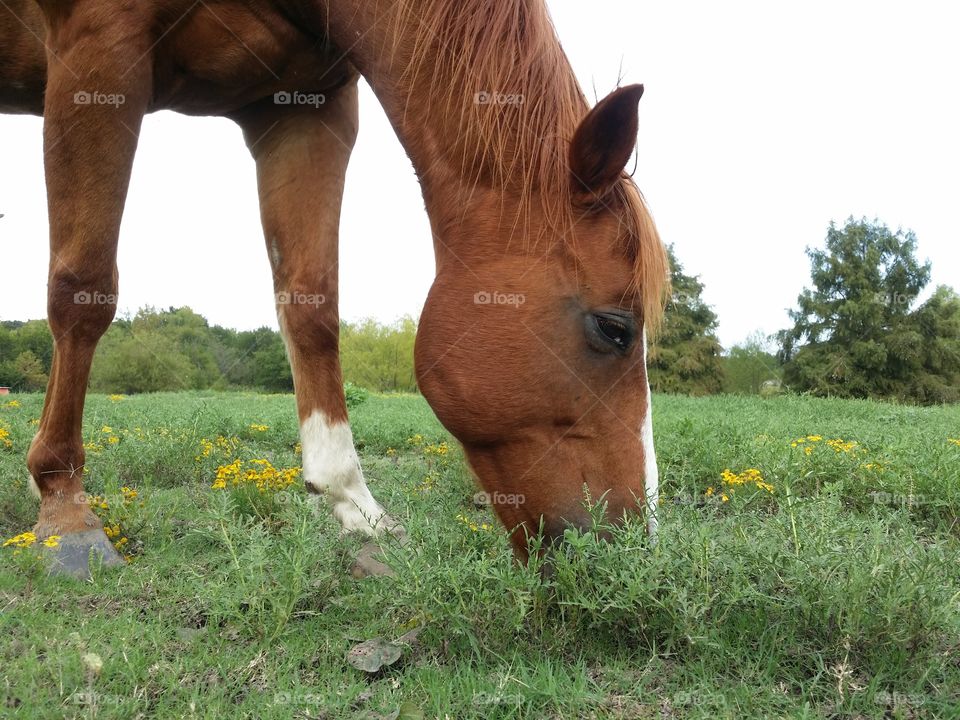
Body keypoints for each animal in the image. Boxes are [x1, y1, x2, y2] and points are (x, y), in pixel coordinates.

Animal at [1, 0, 668, 572]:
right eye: (614, 329)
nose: (634, 548)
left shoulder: (305, 105)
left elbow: (311, 303)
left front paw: (353, 504)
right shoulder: (97, 48)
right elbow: (83, 290)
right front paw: (65, 508)